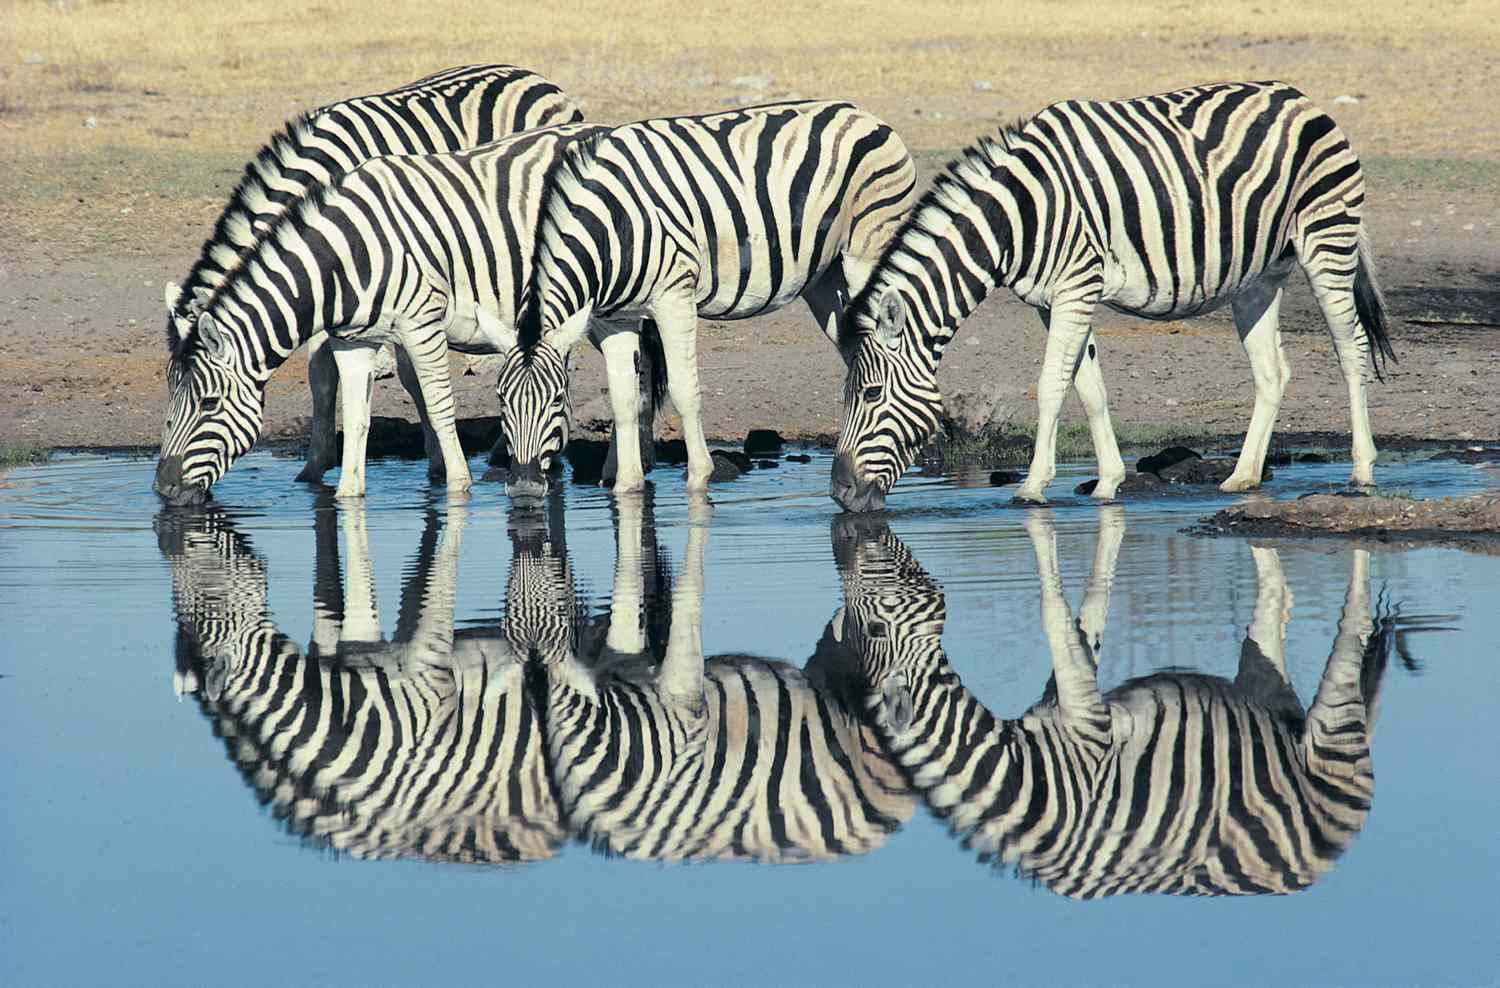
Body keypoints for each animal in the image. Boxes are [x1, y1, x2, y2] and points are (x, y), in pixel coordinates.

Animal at [153, 124, 662, 505]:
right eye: (170, 400)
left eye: (208, 404)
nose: (163, 489)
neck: (346, 255)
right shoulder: (353, 339)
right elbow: (354, 411)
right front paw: (346, 492)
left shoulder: (421, 323)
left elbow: (437, 405)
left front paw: (456, 483)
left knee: (633, 372)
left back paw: (621, 468)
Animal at [493, 100, 918, 504]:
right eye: (501, 400)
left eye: (557, 400)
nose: (524, 488)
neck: (611, 229)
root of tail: (863, 113)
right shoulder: (613, 319)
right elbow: (624, 399)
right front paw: (627, 488)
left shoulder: (673, 296)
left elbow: (684, 390)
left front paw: (699, 478)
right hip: (825, 281)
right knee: (858, 355)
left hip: (868, 252)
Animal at [831, 81, 1395, 511]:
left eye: (871, 395)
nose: (839, 494)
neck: (1015, 218)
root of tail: (1302, 98)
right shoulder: (1051, 300)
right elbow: (1089, 388)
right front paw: (1108, 482)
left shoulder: (1076, 285)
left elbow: (1051, 386)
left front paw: (1033, 486)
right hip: (1258, 277)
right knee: (1272, 372)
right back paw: (1243, 477)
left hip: (1327, 238)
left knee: (1350, 350)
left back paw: (1362, 471)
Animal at [833, 510, 1432, 898]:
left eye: (877, 624)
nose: (853, 537)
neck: (1025, 780)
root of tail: (1325, 862)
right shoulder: (1064, 707)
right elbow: (1076, 632)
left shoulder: (1087, 728)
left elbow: (1055, 618)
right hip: (1271, 703)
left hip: (1332, 730)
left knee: (1348, 647)